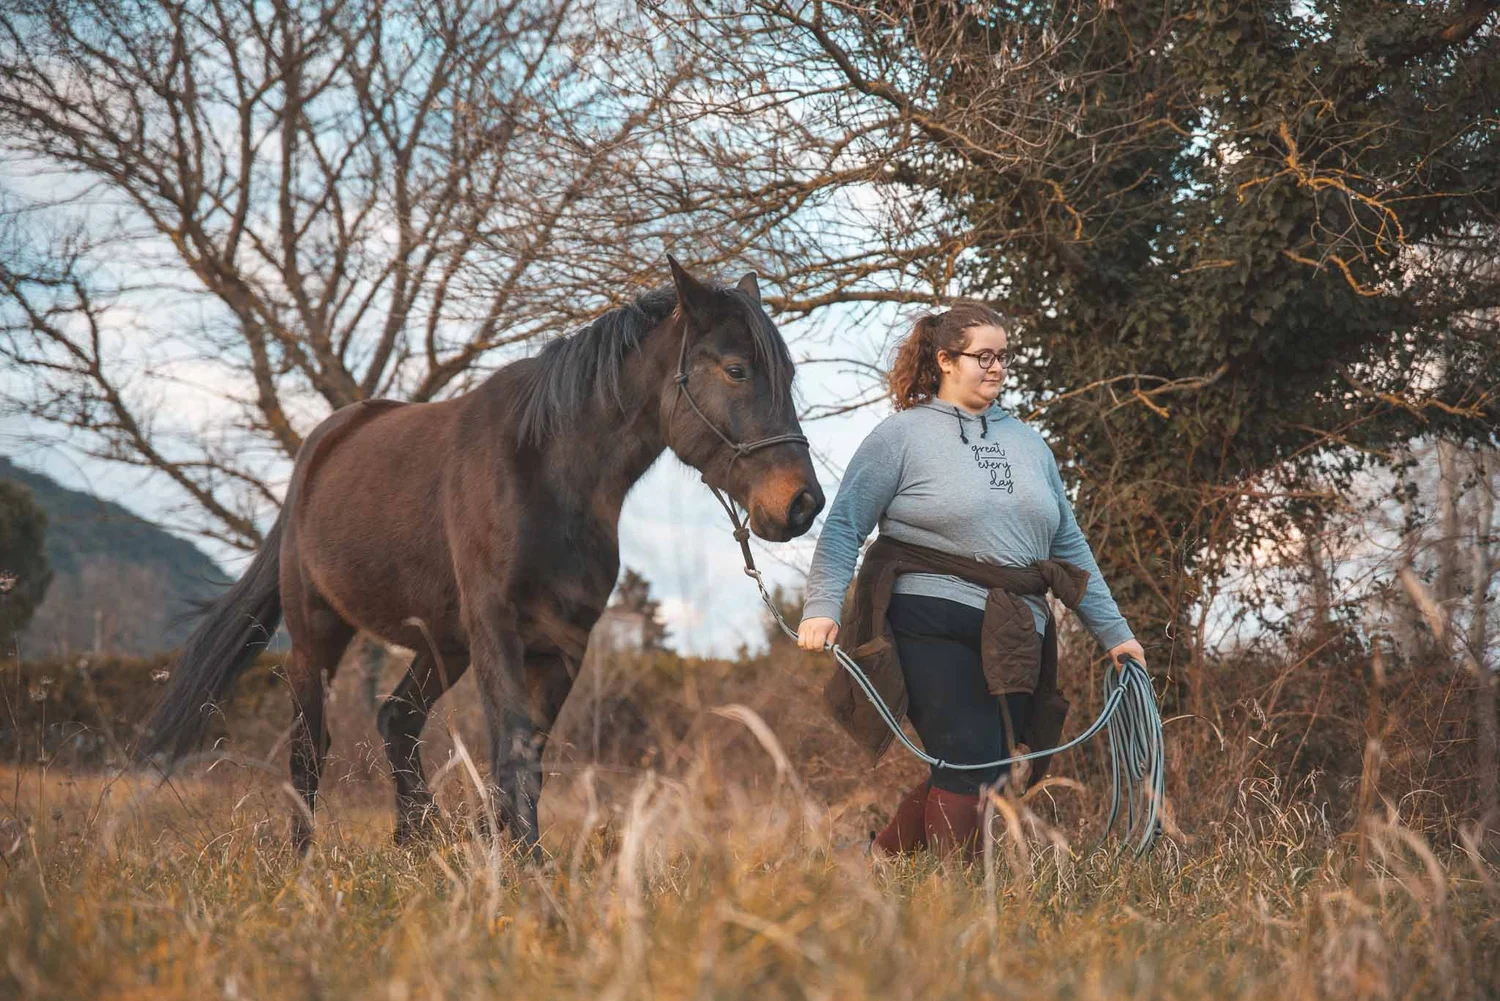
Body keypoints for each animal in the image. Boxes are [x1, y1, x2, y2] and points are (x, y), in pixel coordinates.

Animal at [143, 256, 825, 855]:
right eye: (735, 370)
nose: (802, 504)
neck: (547, 474)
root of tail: (321, 447)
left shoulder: (563, 642)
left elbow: (528, 758)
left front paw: (500, 854)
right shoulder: (498, 629)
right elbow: (512, 753)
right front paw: (526, 870)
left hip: (442, 643)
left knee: (396, 720)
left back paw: (418, 843)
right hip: (319, 631)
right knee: (309, 748)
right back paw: (304, 862)